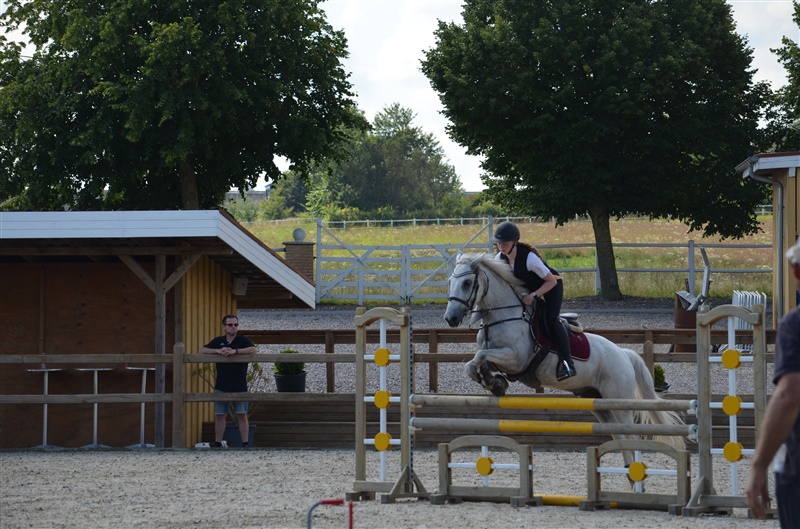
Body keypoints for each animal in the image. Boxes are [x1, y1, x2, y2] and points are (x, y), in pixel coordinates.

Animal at [443, 252, 686, 458]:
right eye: (450, 282)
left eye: (467, 283)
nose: (450, 319)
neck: (503, 315)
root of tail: (624, 354)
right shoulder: (498, 356)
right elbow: (474, 363)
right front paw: (494, 383)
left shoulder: (516, 358)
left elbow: (480, 357)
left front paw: (494, 383)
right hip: (596, 400)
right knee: (619, 435)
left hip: (619, 400)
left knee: (631, 434)